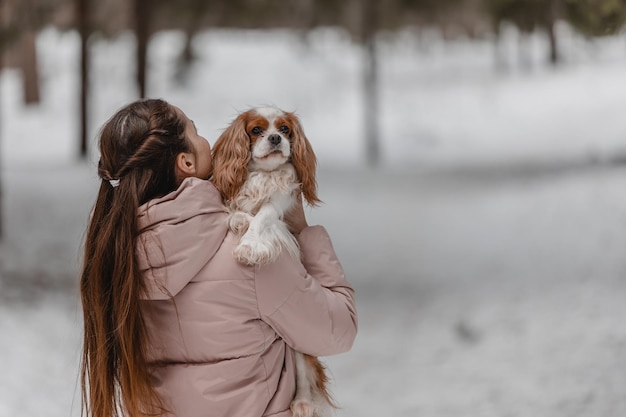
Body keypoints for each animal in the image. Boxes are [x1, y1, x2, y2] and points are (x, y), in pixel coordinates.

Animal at [210, 106, 334, 416]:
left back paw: (302, 403)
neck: (262, 175)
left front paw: (249, 245)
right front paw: (239, 220)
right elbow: (234, 211)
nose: (276, 138)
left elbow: (263, 215)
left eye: (285, 129)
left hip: (297, 341)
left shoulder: (280, 202)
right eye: (256, 130)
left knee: (302, 371)